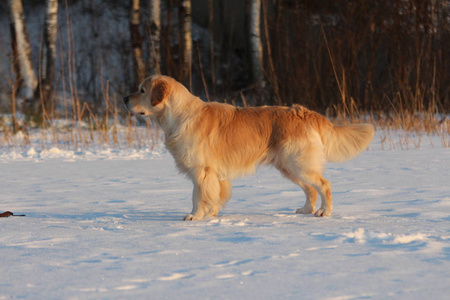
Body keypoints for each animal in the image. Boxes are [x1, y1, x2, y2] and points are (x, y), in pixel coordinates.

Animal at [125, 75, 374, 220]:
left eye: (142, 90)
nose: (125, 99)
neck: (179, 115)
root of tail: (303, 112)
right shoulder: (215, 174)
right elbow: (215, 195)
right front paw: (212, 215)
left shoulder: (201, 171)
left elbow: (198, 196)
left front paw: (194, 217)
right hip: (289, 166)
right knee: (310, 189)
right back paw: (305, 210)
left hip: (298, 163)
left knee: (324, 185)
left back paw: (324, 211)